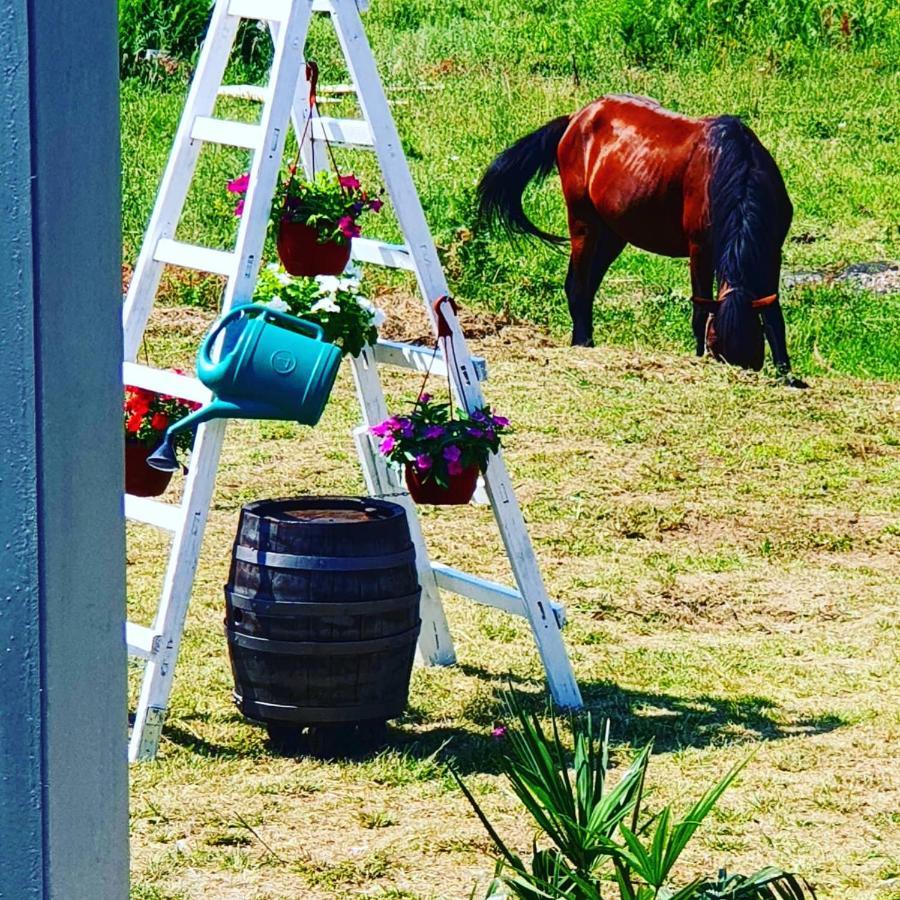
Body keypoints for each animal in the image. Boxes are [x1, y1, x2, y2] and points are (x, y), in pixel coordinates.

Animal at [482, 95, 804, 386]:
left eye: (754, 352)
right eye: (716, 347)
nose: (737, 373)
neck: (738, 169)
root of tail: (577, 117)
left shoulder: (771, 251)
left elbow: (773, 315)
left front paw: (786, 373)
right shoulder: (700, 249)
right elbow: (700, 309)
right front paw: (696, 358)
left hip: (612, 234)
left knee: (584, 285)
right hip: (583, 221)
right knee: (578, 284)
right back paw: (582, 341)